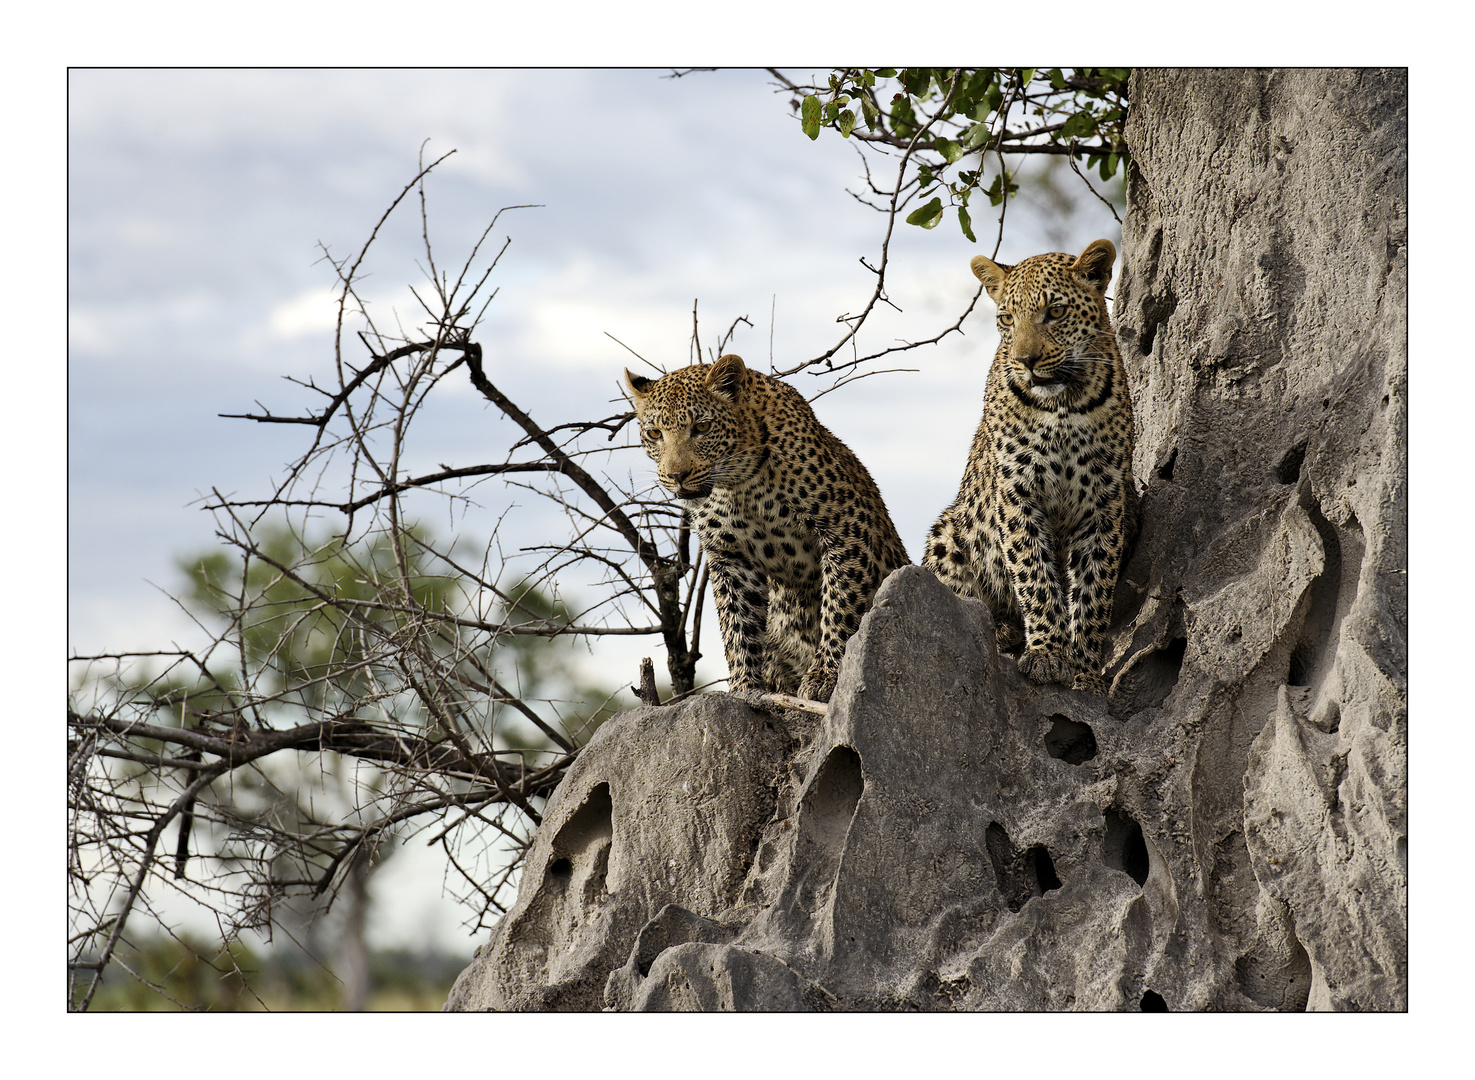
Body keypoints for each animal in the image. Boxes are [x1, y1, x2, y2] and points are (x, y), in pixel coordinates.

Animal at [622, 354, 908, 705]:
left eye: (701, 427)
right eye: (654, 434)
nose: (677, 475)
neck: (739, 485)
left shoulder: (844, 528)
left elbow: (840, 604)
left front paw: (825, 676)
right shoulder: (729, 555)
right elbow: (736, 623)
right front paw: (743, 687)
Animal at [920, 237, 1138, 696]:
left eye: (1054, 312)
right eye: (1006, 318)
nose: (1026, 360)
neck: (1064, 405)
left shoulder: (1103, 503)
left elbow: (1092, 590)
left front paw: (1085, 673)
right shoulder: (1018, 494)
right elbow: (1035, 575)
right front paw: (1047, 655)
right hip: (948, 532)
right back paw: (1002, 631)